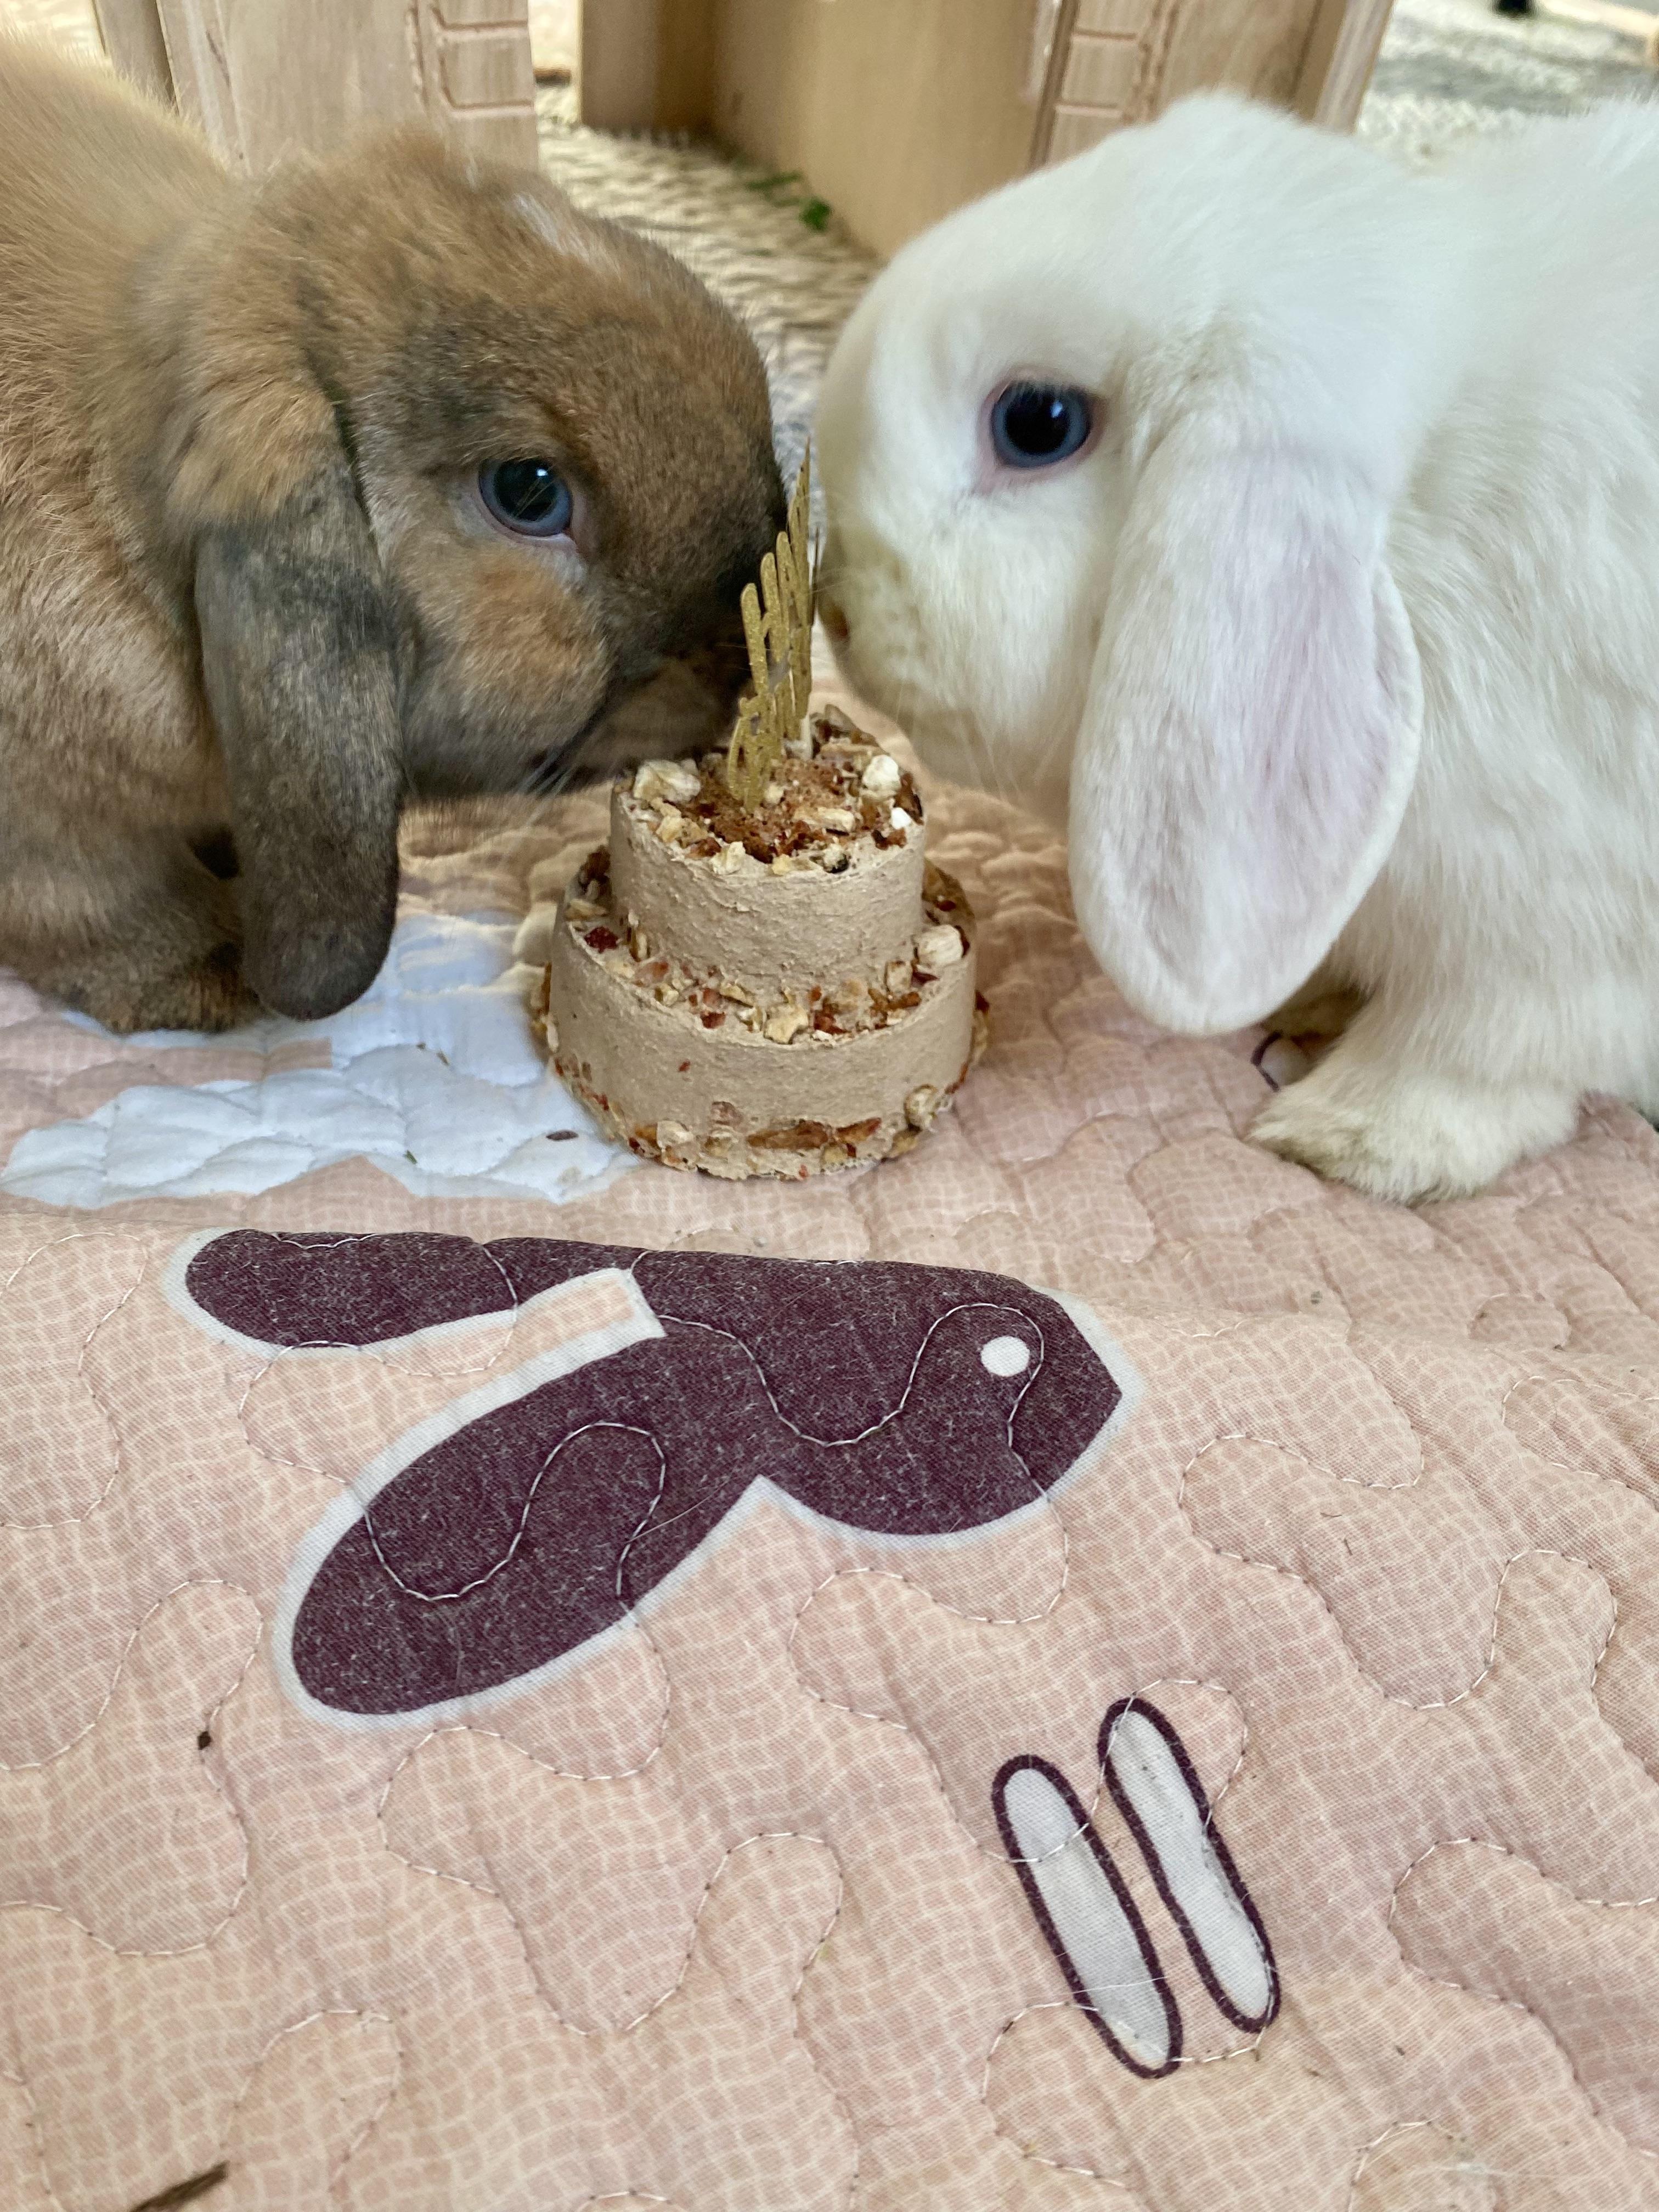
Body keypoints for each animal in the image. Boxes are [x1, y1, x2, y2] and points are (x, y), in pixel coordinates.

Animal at [814, 90, 1659, 1204]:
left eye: (1038, 422)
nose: (833, 608)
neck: (1412, 532)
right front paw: (1308, 1006)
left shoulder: (1546, 930)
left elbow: (1474, 1054)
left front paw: (1352, 1138)